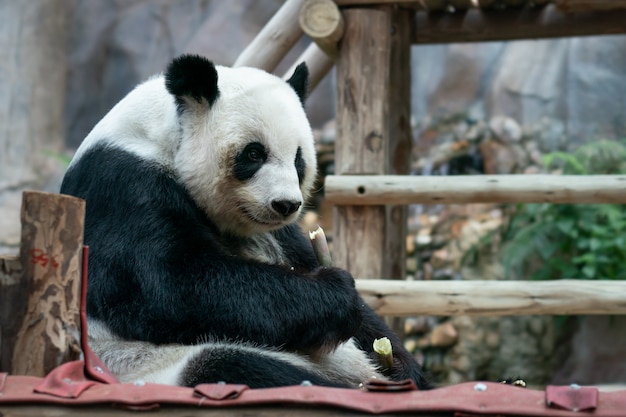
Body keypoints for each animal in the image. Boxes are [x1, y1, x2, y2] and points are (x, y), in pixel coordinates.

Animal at [59, 53, 428, 388]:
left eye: (298, 159)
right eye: (254, 153)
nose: (286, 205)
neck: (163, 135)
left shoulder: (279, 235)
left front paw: (399, 361)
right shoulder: (122, 187)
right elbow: (170, 286)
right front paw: (336, 292)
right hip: (147, 364)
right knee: (234, 365)